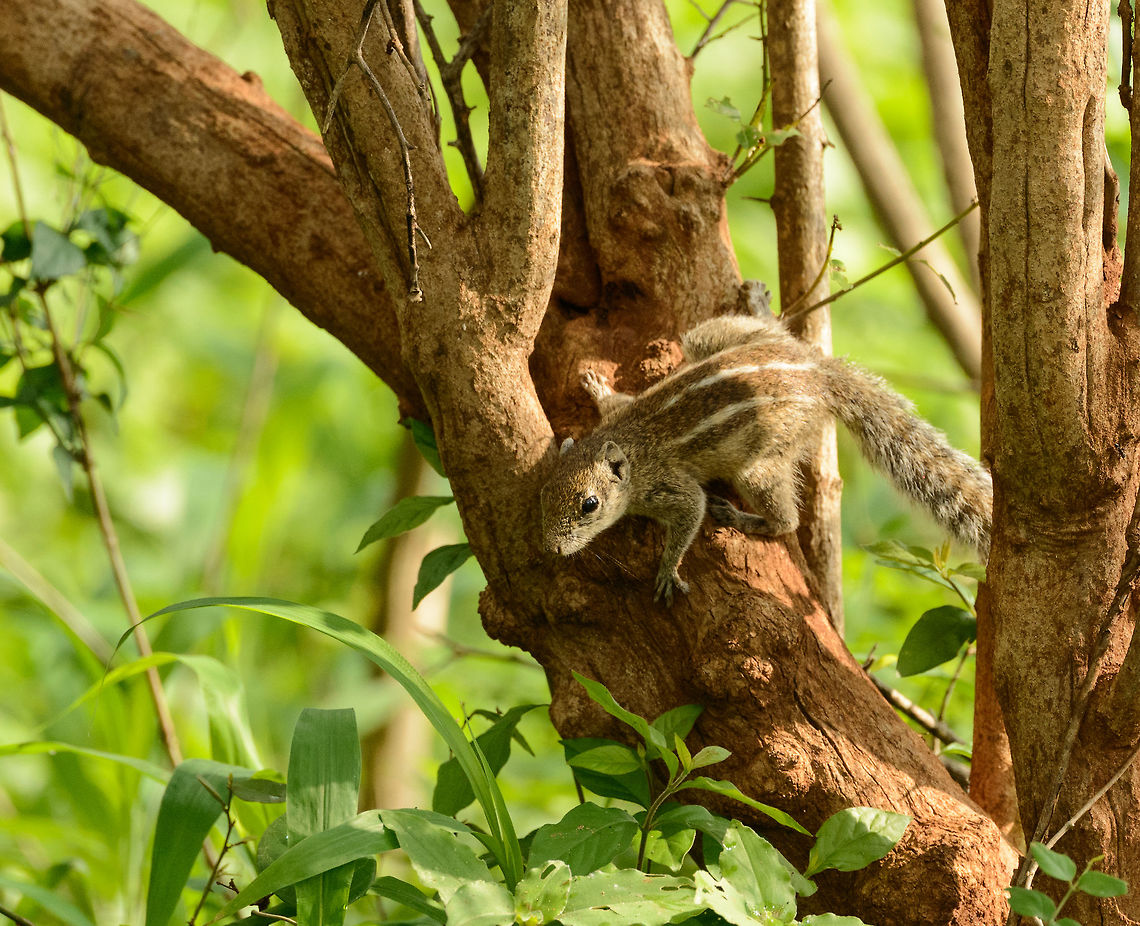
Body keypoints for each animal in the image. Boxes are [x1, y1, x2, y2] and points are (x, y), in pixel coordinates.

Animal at [540, 297, 992, 604]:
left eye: (590, 504)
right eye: (544, 493)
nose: (552, 549)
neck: (627, 444)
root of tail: (821, 373)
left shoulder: (670, 488)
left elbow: (692, 513)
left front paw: (669, 570)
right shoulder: (621, 414)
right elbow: (615, 400)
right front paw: (597, 387)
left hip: (758, 464)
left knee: (786, 522)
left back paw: (744, 518)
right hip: (711, 340)